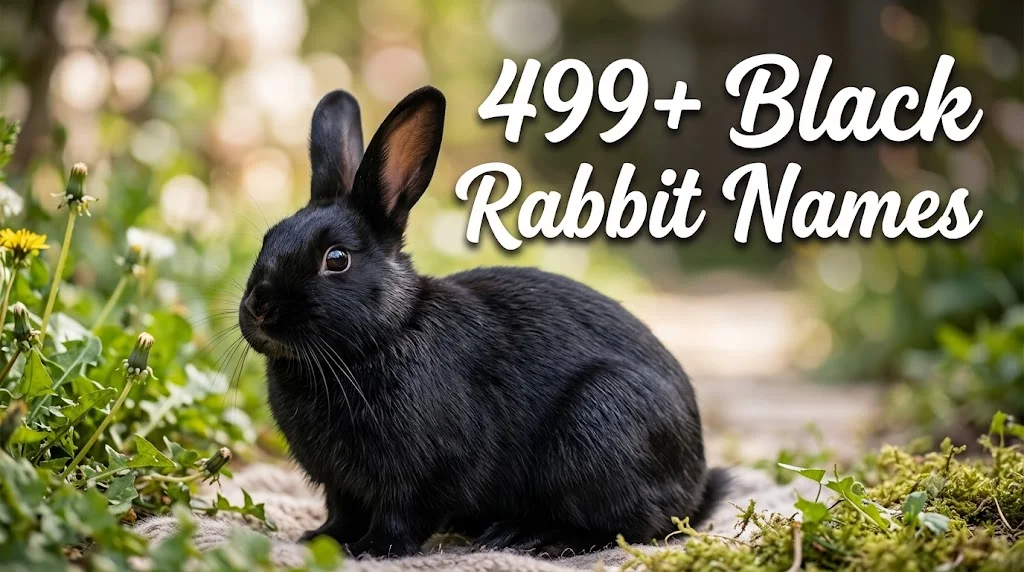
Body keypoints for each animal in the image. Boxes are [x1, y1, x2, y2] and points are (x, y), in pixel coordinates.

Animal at [238, 86, 729, 558]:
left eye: (336, 259)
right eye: (268, 239)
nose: (260, 307)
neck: (384, 336)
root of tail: (694, 485)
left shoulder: (423, 474)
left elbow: (401, 516)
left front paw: (371, 550)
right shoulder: (340, 487)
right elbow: (342, 514)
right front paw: (318, 540)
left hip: (601, 423)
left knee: (621, 526)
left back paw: (527, 536)